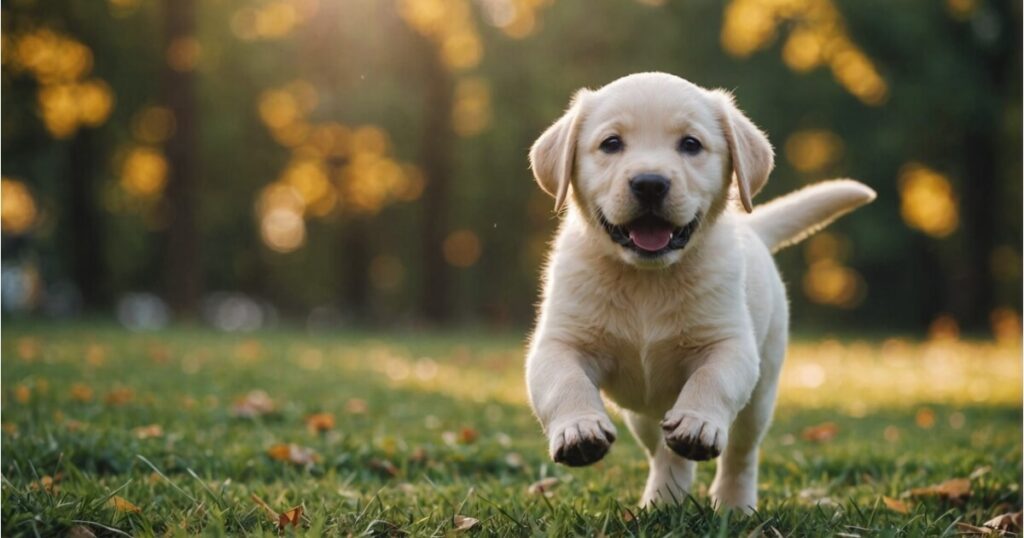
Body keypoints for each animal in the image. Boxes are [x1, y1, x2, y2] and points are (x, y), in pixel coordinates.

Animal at [528, 72, 872, 512]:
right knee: (666, 456)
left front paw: (698, 423)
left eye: (691, 144)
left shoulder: (730, 344)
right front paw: (579, 430)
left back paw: (734, 504)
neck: (648, 279)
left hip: (761, 391)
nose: (650, 183)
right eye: (611, 143)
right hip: (644, 414)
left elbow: (712, 379)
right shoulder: (560, 341)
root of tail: (752, 227)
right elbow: (564, 382)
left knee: (741, 454)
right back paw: (663, 501)